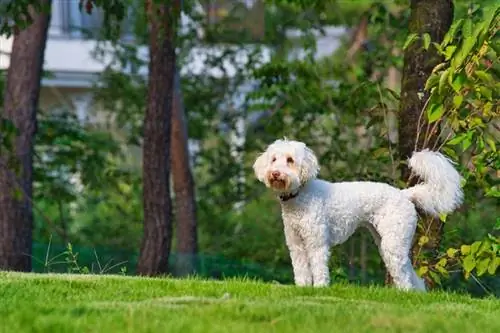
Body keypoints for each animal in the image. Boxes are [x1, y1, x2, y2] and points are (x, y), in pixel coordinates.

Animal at [254, 139, 464, 290]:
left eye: (290, 160)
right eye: (273, 159)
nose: (275, 173)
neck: (300, 195)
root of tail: (404, 195)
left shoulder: (316, 243)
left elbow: (319, 268)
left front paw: (320, 289)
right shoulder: (296, 244)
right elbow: (301, 270)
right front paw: (302, 289)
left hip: (393, 242)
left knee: (404, 274)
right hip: (388, 241)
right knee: (411, 274)